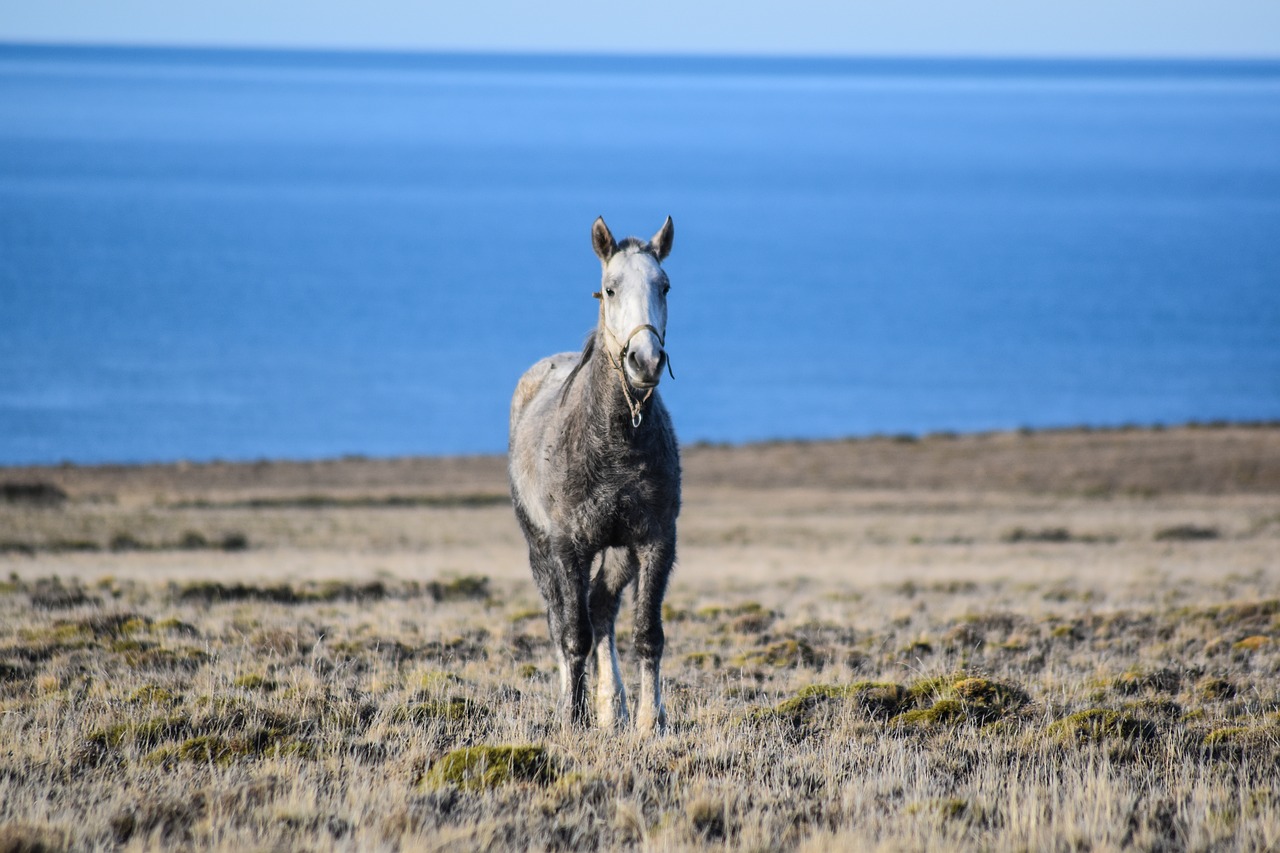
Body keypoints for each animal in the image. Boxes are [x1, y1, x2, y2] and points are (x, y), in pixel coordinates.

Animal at [509, 216, 686, 727]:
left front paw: (650, 722)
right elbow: (574, 634)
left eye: (664, 285)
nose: (645, 361)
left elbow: (647, 634)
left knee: (602, 608)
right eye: (610, 288)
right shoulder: (570, 547)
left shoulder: (654, 541)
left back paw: (614, 707)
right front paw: (573, 719)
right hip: (540, 548)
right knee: (561, 618)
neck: (614, 442)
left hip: (619, 552)